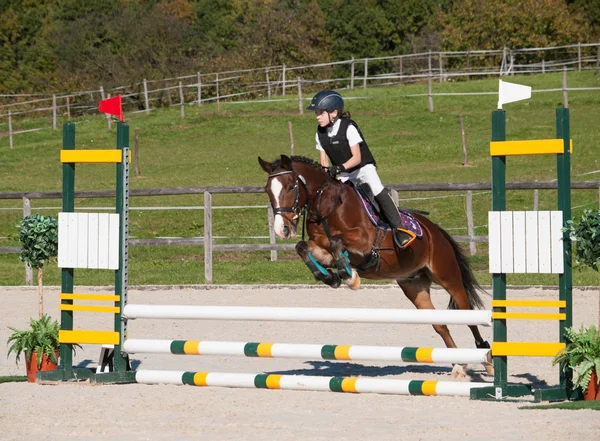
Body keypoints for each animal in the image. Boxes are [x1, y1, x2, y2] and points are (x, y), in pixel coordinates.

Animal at [258, 154, 492, 374]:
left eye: (291, 186)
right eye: (267, 190)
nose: (282, 229)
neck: (327, 206)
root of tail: (436, 231)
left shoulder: (363, 242)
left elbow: (337, 242)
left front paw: (350, 276)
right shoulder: (321, 249)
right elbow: (303, 247)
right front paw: (331, 276)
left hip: (448, 277)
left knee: (469, 316)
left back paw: (486, 359)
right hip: (414, 286)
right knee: (440, 324)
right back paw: (458, 364)